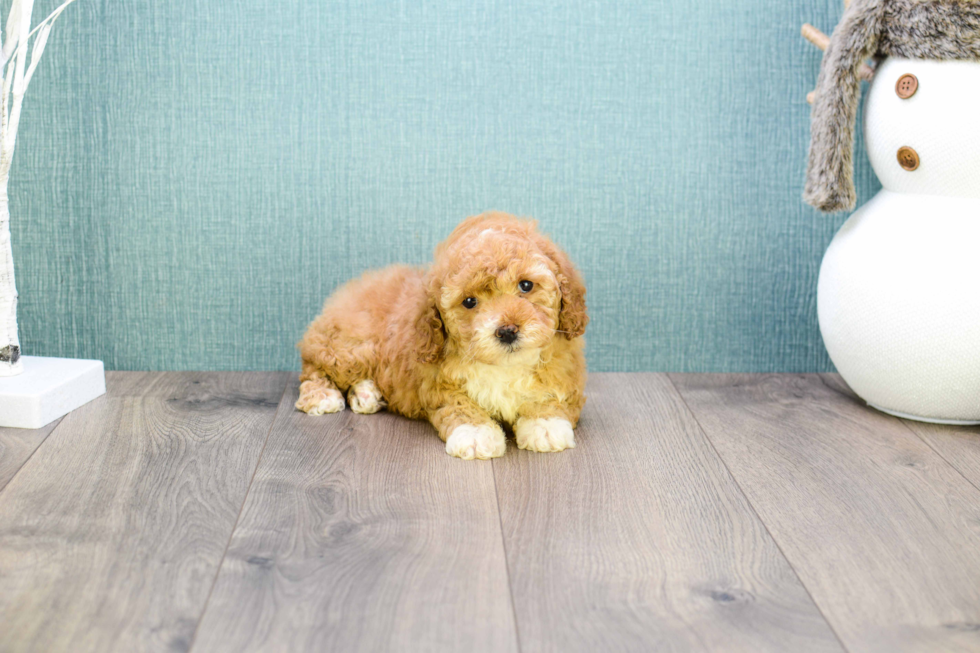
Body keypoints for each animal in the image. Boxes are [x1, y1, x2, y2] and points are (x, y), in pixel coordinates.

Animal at [296, 211, 588, 456]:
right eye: (469, 302)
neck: (505, 365)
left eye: (526, 285)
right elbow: (460, 405)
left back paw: (367, 394)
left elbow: (553, 396)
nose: (507, 331)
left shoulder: (565, 370)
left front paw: (546, 425)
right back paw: (323, 395)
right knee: (313, 365)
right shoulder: (438, 384)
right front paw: (475, 434)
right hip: (351, 349)